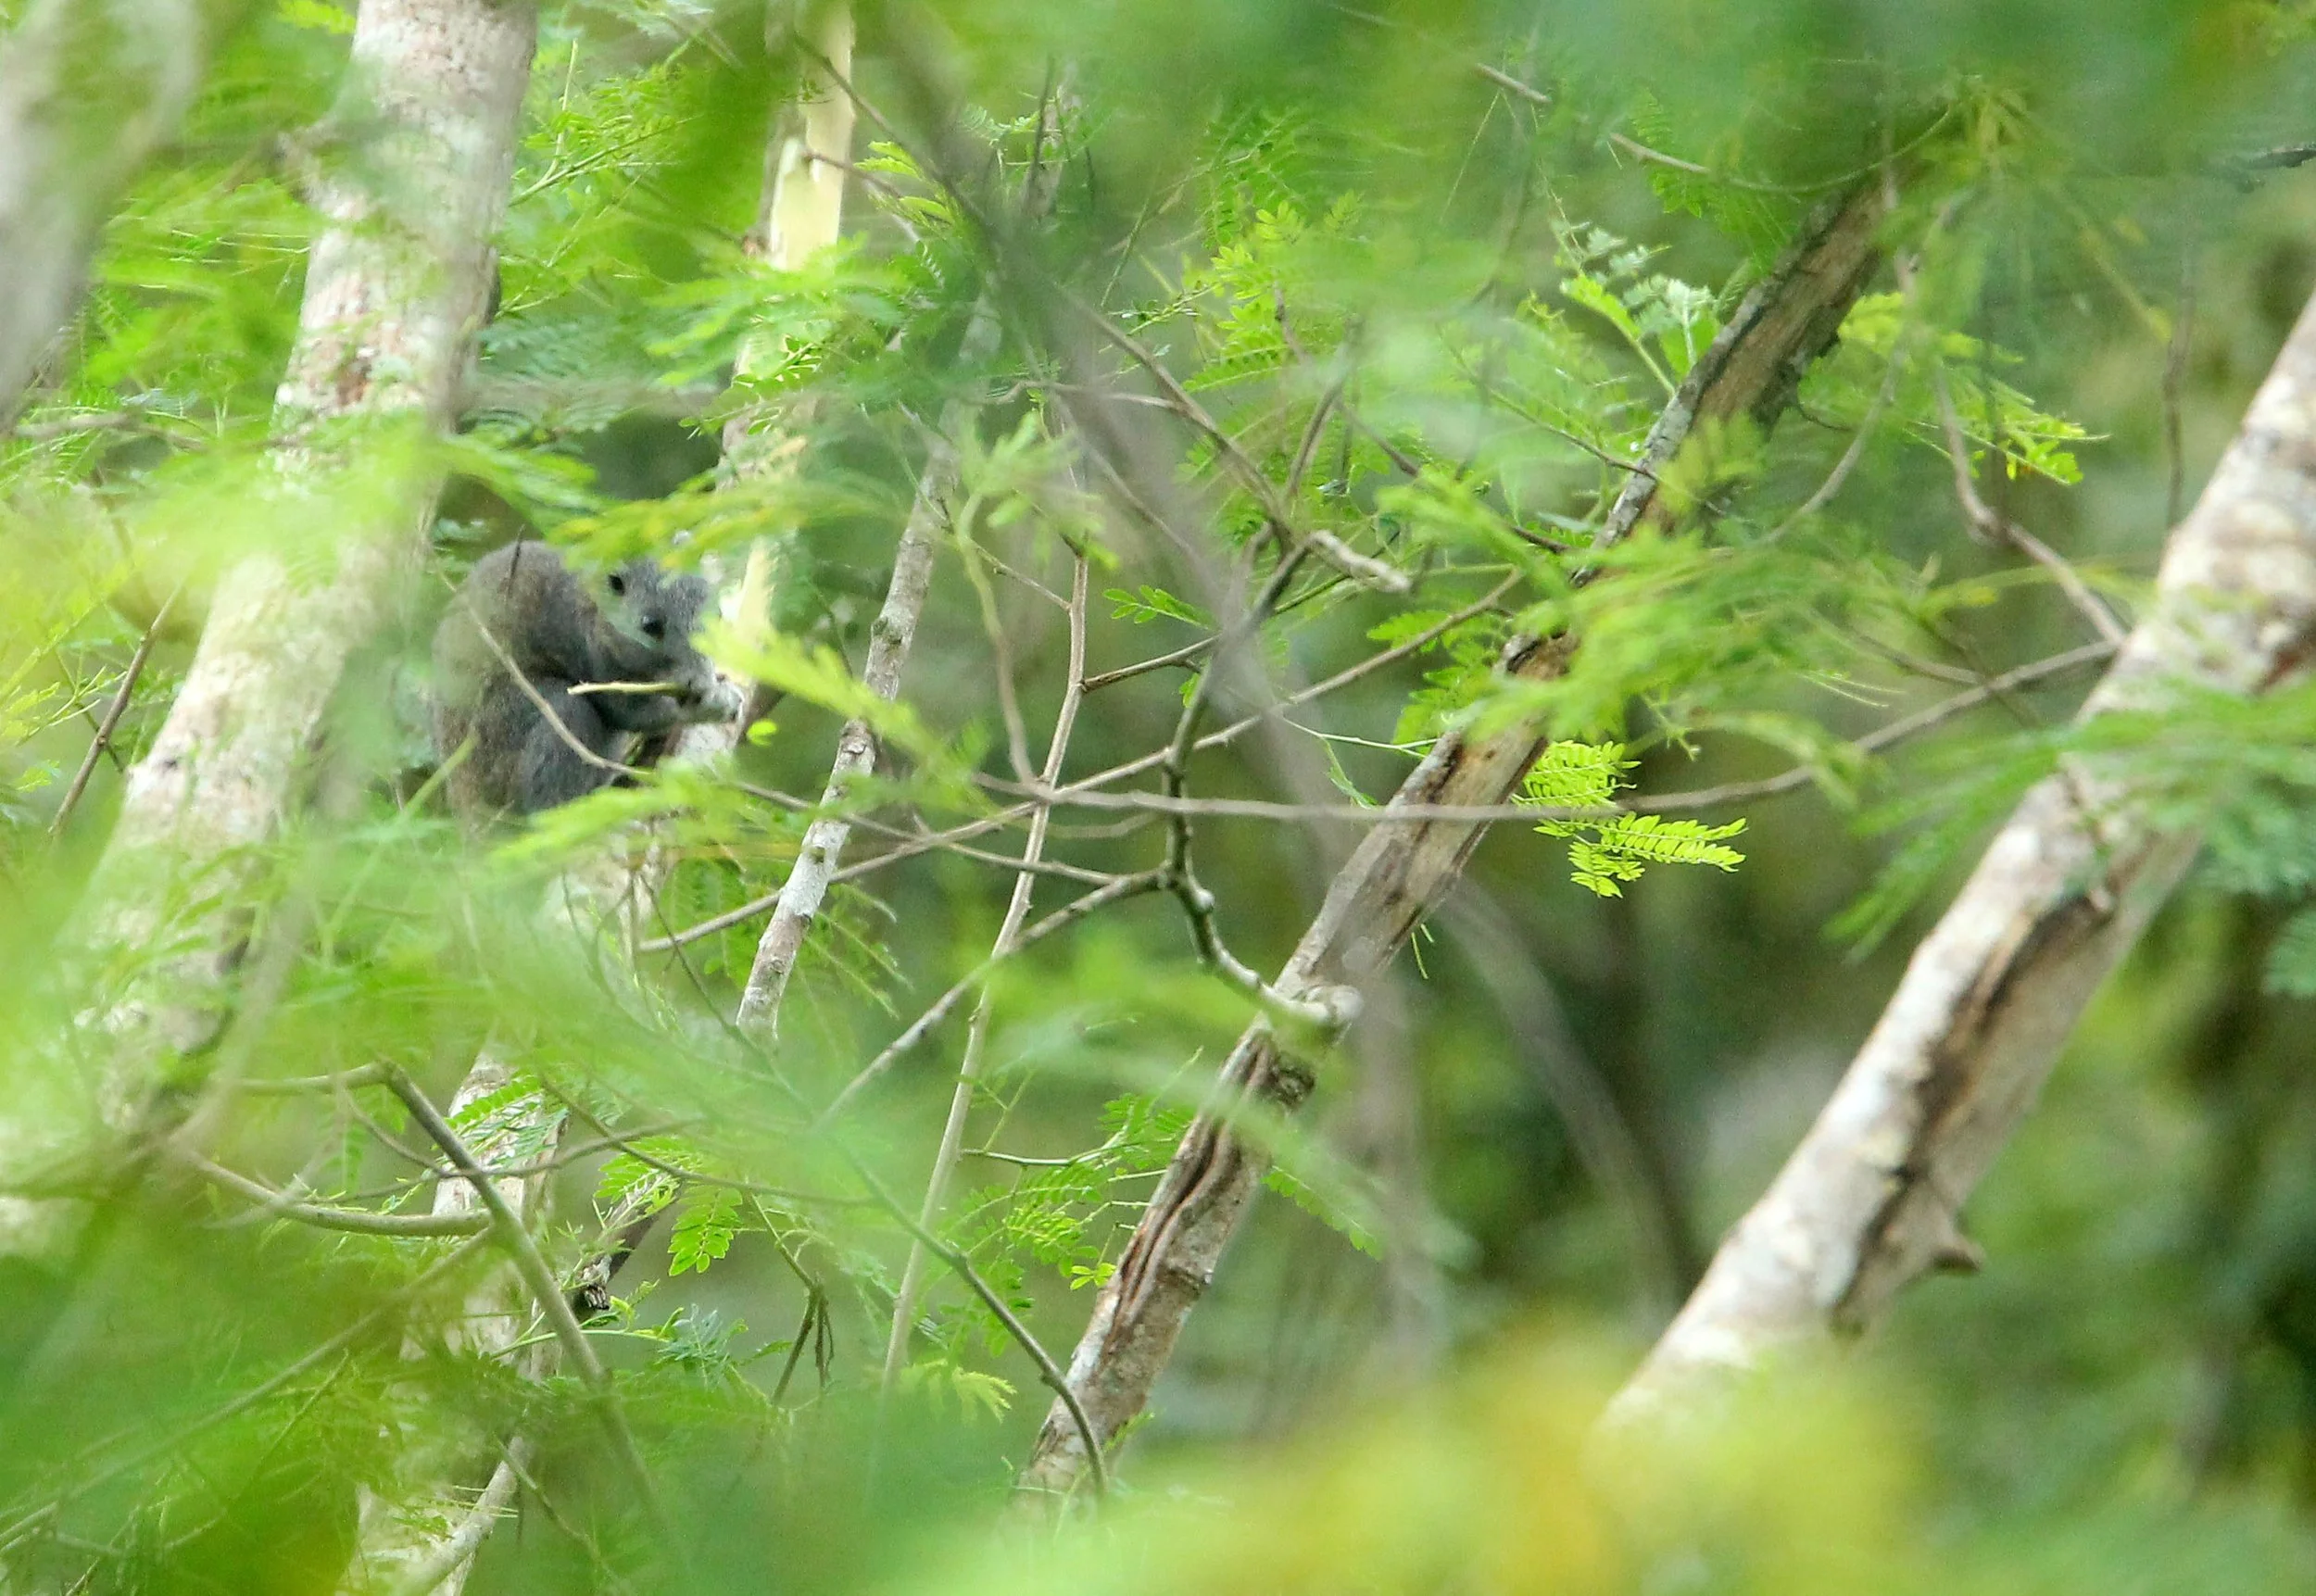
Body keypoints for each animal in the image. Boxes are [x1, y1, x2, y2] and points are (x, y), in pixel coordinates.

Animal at [430, 540, 741, 818]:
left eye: (718, 614)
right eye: (650, 625)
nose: (699, 682)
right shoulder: (586, 648)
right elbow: (629, 712)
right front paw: (715, 704)